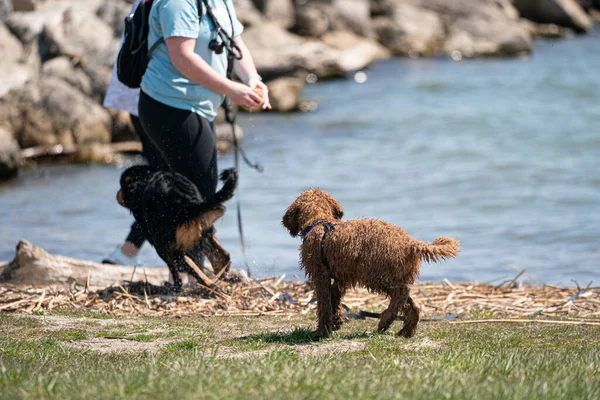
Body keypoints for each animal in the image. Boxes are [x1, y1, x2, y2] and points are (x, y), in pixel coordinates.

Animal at [284, 189, 462, 340]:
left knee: (401, 293)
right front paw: (336, 322)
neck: (319, 221)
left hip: (376, 274)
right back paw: (405, 330)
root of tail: (411, 243)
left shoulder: (321, 275)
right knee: (411, 303)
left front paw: (321, 331)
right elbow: (334, 299)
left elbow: (324, 306)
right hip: (396, 274)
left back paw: (385, 320)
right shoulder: (340, 278)